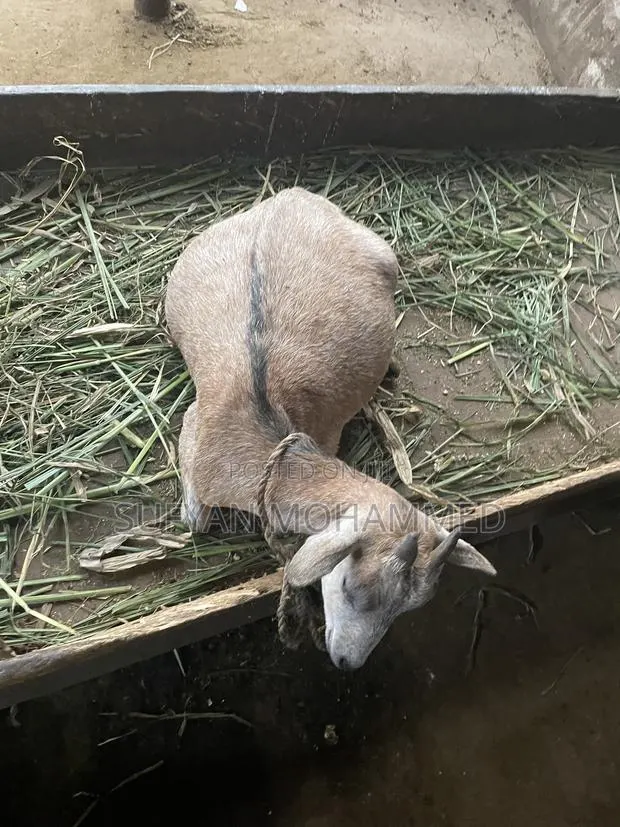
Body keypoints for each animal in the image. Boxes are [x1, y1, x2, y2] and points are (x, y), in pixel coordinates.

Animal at [164, 186, 496, 670]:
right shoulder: (196, 430)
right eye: (348, 586)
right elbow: (195, 521)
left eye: (408, 607)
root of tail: (291, 196)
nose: (347, 662)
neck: (264, 432)